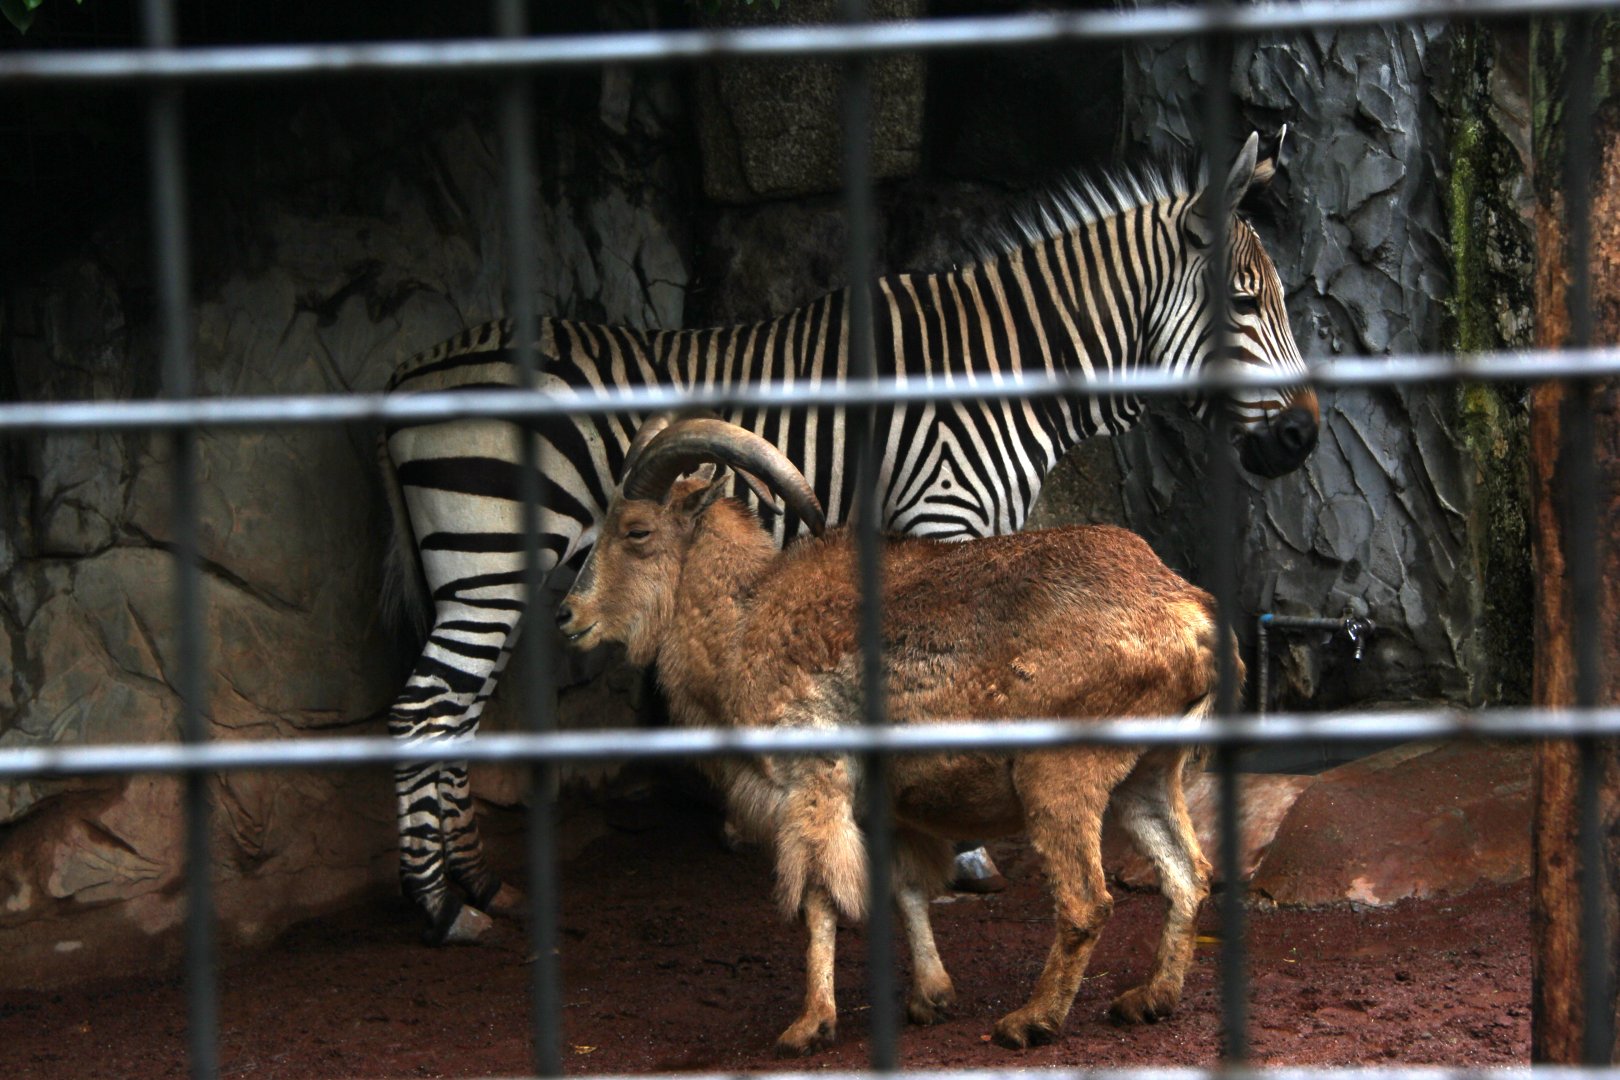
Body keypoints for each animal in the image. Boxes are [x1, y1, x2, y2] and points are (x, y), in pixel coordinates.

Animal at [381, 129, 1319, 943]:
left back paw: (481, 885)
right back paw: (440, 910)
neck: (1002, 370)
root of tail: (405, 376)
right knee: (423, 714)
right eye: (1245, 302)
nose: (1304, 436)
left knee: (457, 712)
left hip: (480, 575)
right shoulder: (943, 515)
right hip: (491, 565)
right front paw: (961, 854)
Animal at [556, 415, 1228, 1055]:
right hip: (1148, 774)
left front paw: (810, 1024)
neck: (746, 618)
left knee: (1088, 900)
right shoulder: (890, 805)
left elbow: (820, 896)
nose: (568, 615)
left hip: (1061, 775)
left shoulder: (814, 782)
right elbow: (907, 889)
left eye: (637, 532)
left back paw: (1031, 1020)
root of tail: (1188, 614)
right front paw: (931, 997)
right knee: (1187, 873)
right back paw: (1149, 999)